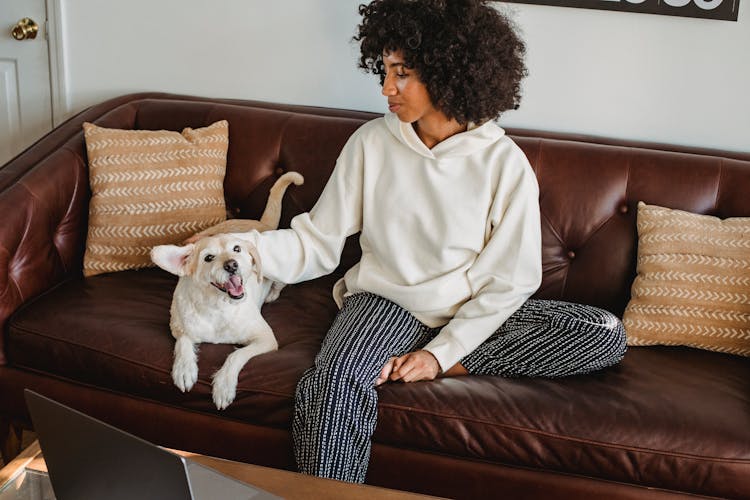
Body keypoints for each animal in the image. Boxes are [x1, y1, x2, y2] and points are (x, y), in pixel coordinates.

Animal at [151, 172, 304, 410]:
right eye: (208, 257)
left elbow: (237, 355)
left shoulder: (265, 339)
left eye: (237, 249)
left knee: (280, 284)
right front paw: (184, 368)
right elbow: (183, 342)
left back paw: (272, 293)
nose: (232, 265)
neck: (218, 308)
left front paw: (224, 384)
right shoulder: (178, 327)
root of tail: (261, 223)